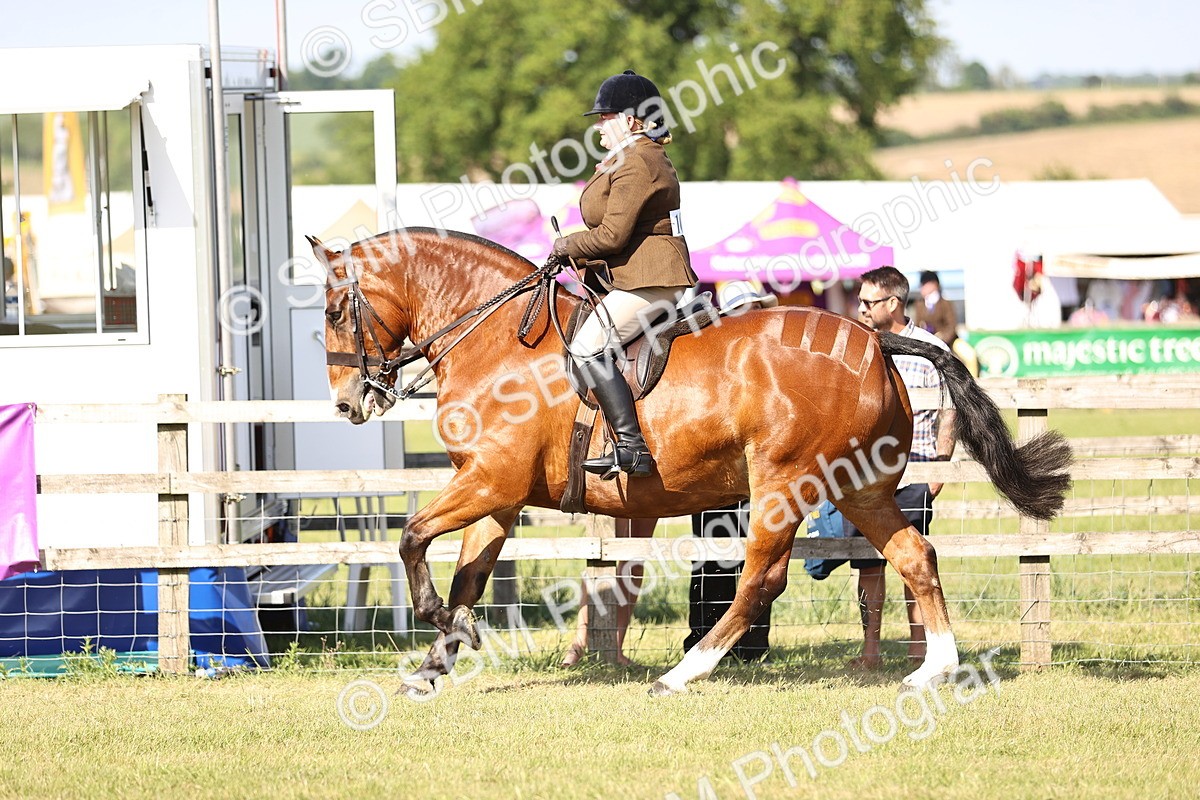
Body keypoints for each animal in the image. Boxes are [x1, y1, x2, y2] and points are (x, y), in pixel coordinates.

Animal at [315, 228, 1072, 695]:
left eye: (331, 311)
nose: (348, 403)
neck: (498, 339)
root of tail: (876, 340)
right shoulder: (498, 492)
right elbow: (470, 573)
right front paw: (438, 656)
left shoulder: (488, 479)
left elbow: (412, 538)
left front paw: (438, 622)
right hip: (860, 488)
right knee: (915, 555)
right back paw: (933, 670)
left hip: (783, 482)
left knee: (761, 579)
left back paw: (684, 674)